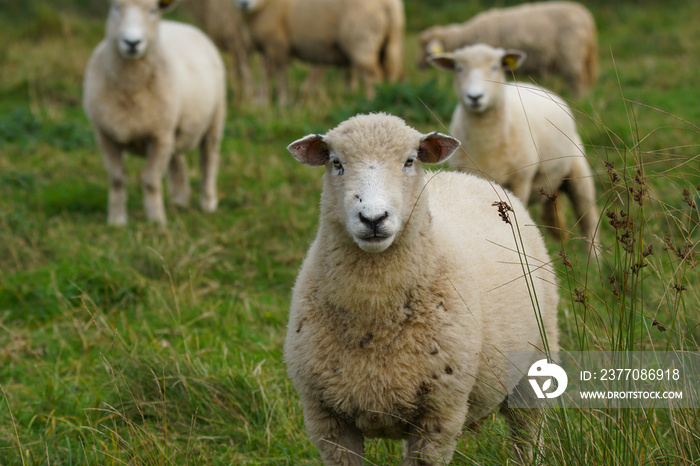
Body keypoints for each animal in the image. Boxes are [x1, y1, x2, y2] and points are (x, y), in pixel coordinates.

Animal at [82, 0, 226, 226]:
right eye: (116, 7)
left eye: (152, 10)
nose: (132, 42)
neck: (130, 86)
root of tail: (179, 23)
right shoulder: (105, 135)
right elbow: (116, 178)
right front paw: (116, 221)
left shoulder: (159, 136)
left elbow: (150, 179)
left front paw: (157, 221)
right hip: (174, 126)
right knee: (177, 159)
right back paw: (179, 199)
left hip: (215, 116)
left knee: (208, 159)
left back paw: (208, 202)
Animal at [231, 0, 404, 104]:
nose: (244, 3)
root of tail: (388, 5)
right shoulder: (266, 45)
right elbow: (265, 72)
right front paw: (261, 101)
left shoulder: (277, 42)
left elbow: (280, 72)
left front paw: (282, 100)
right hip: (391, 43)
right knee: (389, 73)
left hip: (361, 37)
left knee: (371, 75)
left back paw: (370, 101)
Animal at [284, 111, 556, 464]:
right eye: (336, 163)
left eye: (409, 161)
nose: (373, 218)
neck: (373, 316)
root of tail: (466, 176)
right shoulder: (327, 420)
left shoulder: (439, 416)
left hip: (537, 360)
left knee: (527, 434)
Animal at [418, 0, 600, 97]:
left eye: (424, 48)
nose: (418, 65)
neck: (467, 35)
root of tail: (587, 18)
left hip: (571, 56)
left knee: (577, 81)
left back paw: (578, 99)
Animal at [430, 42, 600, 249]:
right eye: (459, 69)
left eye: (495, 67)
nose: (475, 97)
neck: (486, 143)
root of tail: (534, 85)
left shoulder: (521, 180)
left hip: (578, 172)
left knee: (588, 220)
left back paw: (593, 256)